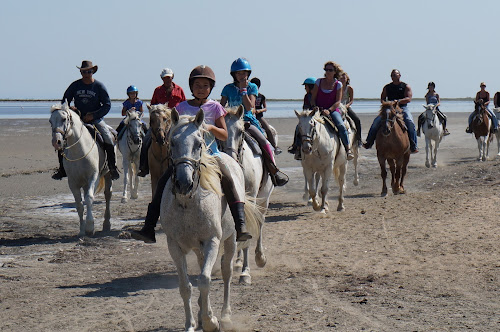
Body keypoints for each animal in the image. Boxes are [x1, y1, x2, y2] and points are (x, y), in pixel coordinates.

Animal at [48, 103, 111, 236]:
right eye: (50, 121)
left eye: (64, 119)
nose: (56, 142)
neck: (79, 151)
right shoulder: (73, 182)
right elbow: (79, 204)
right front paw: (82, 230)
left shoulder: (93, 177)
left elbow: (89, 198)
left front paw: (90, 227)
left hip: (107, 174)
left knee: (108, 195)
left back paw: (107, 224)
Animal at [160, 109, 262, 332]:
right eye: (172, 142)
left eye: (199, 143)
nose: (184, 183)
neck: (188, 203)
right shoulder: (175, 246)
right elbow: (185, 286)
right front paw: (191, 324)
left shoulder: (212, 242)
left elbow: (205, 280)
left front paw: (211, 322)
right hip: (199, 248)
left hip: (230, 240)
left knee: (226, 273)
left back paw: (225, 315)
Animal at [221, 106, 272, 286]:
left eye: (241, 132)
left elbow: (248, 234)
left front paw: (245, 273)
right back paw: (236, 261)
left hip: (263, 199)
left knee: (260, 223)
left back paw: (260, 257)